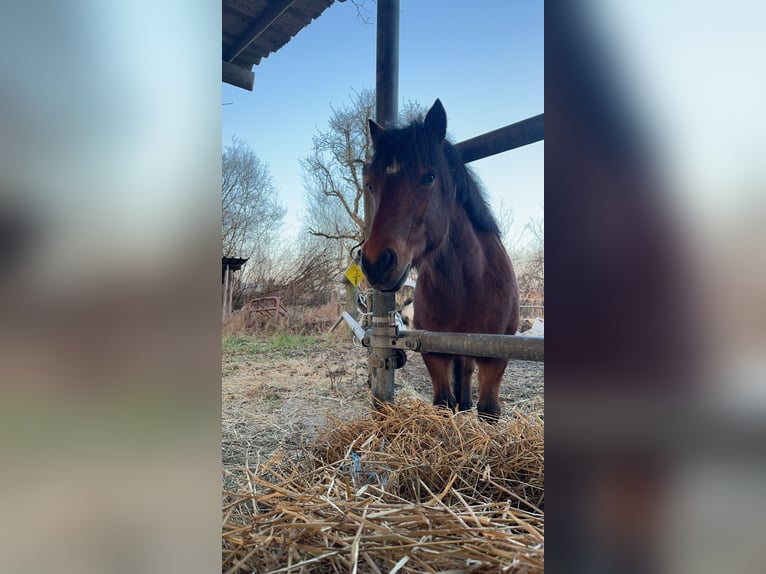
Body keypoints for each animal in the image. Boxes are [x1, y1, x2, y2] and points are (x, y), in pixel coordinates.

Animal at [362, 100, 520, 424]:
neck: (469, 284)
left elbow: (488, 412)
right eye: (371, 184)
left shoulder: (495, 358)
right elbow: (444, 403)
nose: (375, 262)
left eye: (429, 176)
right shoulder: (434, 353)